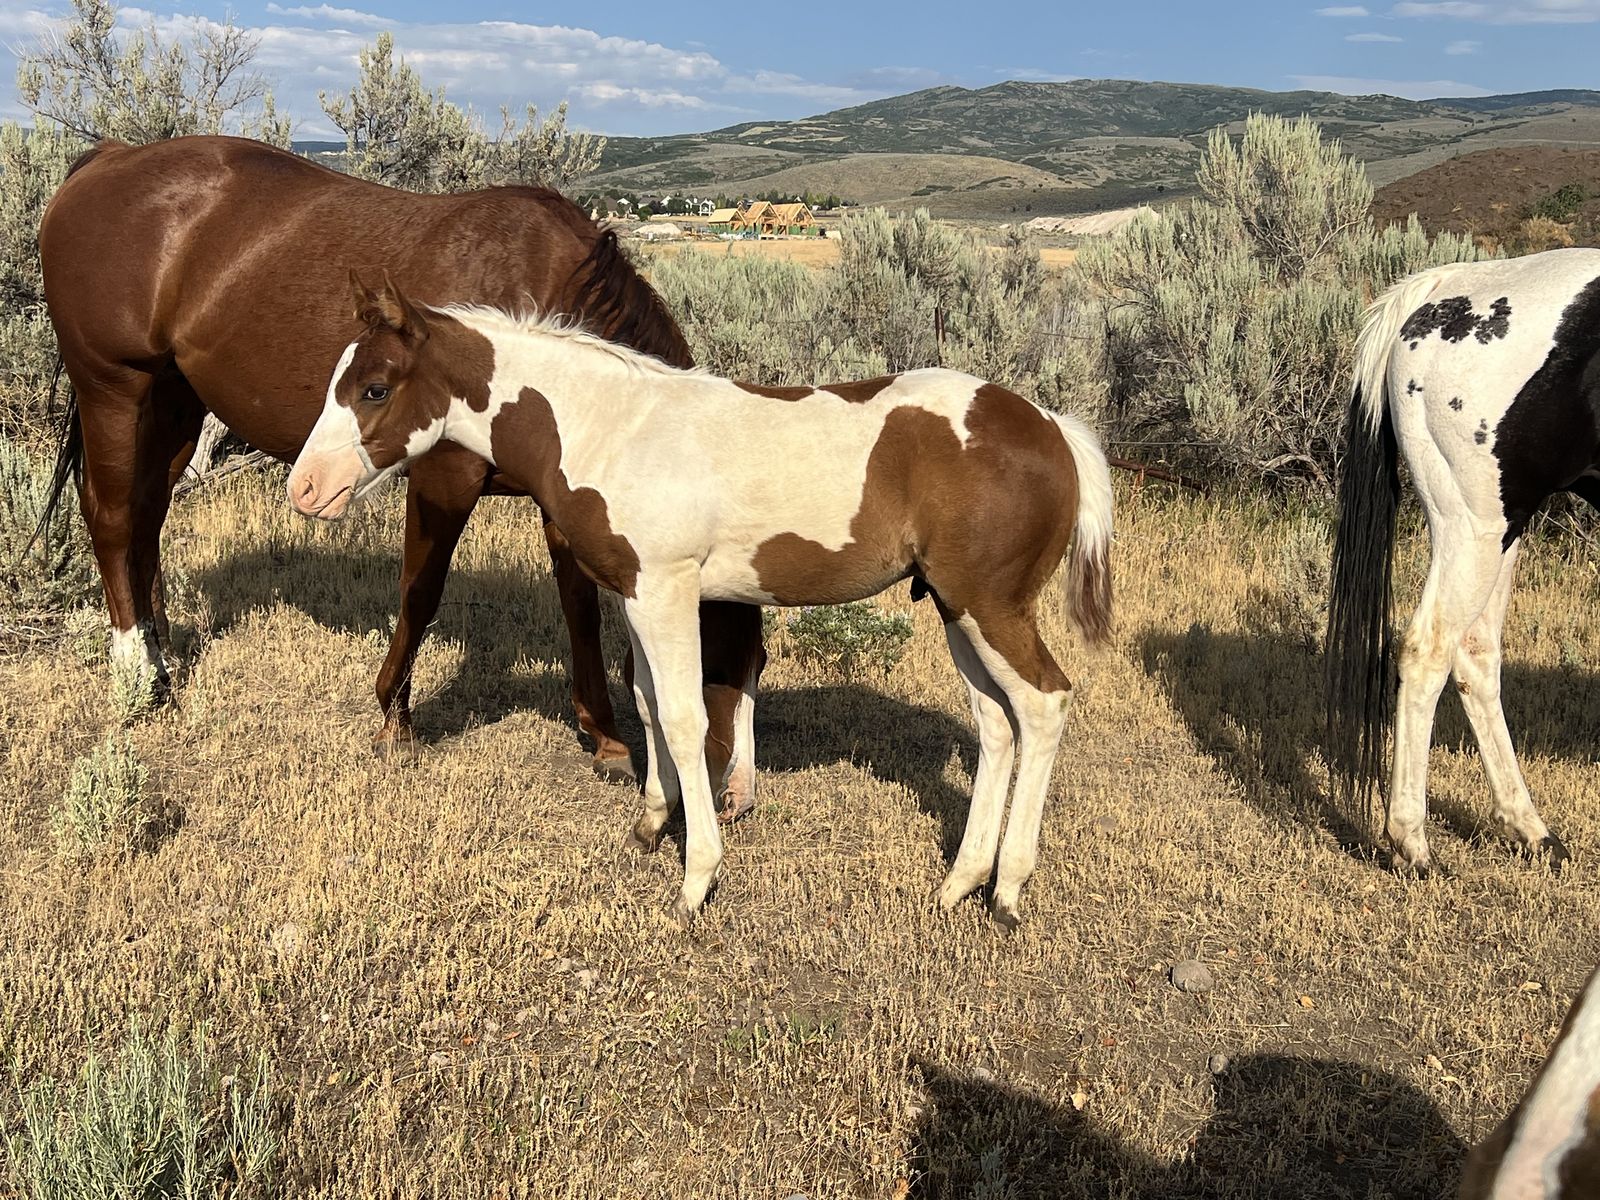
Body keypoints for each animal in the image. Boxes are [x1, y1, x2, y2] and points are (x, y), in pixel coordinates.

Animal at [38, 134, 764, 814]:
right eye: (714, 663)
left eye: (758, 662)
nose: (734, 797)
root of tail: (111, 157)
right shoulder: (444, 481)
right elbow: (421, 593)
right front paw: (395, 718)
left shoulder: (566, 495)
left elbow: (578, 605)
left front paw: (606, 738)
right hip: (115, 388)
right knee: (112, 517)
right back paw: (135, 673)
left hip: (175, 398)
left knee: (148, 515)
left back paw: (161, 658)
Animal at [286, 275, 1115, 927]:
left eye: (375, 388)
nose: (305, 489)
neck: (612, 428)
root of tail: (1053, 427)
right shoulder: (632, 593)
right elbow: (648, 703)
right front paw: (651, 824)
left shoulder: (667, 589)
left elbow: (687, 721)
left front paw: (696, 877)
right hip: (954, 606)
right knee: (996, 725)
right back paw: (959, 883)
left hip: (991, 606)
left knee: (1043, 704)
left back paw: (1007, 892)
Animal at [1326, 248, 1600, 874]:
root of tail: (1444, 285)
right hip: (1474, 527)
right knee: (1428, 649)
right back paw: (1412, 844)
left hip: (1502, 527)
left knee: (1474, 654)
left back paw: (1530, 830)